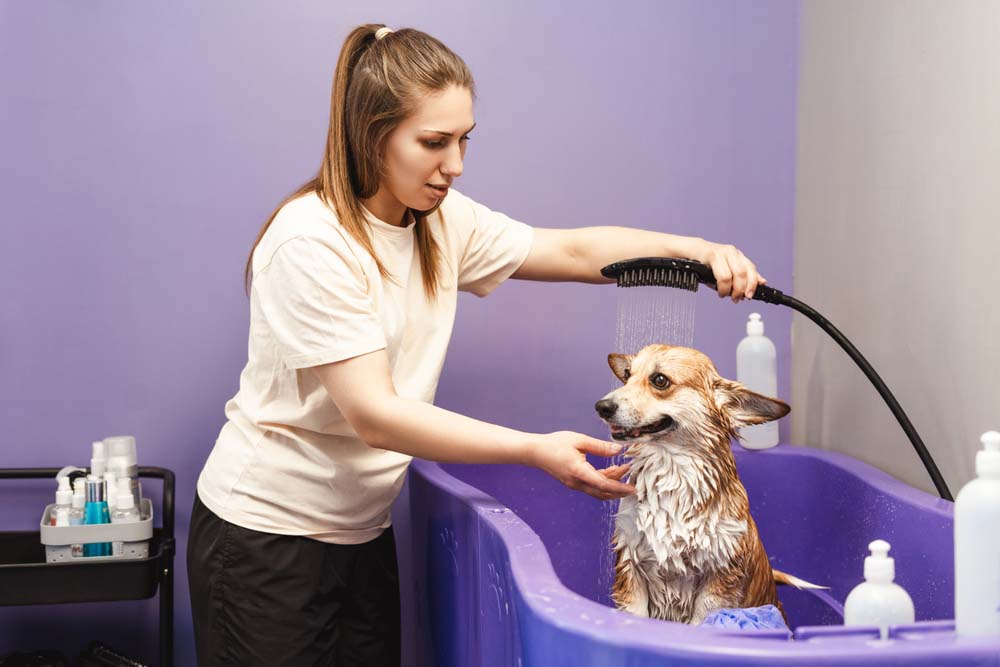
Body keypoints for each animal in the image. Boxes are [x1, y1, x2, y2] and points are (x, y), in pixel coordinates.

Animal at [592, 344, 820, 628]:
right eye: (627, 374)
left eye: (659, 380)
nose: (601, 406)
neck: (672, 474)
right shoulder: (631, 566)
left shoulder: (718, 580)